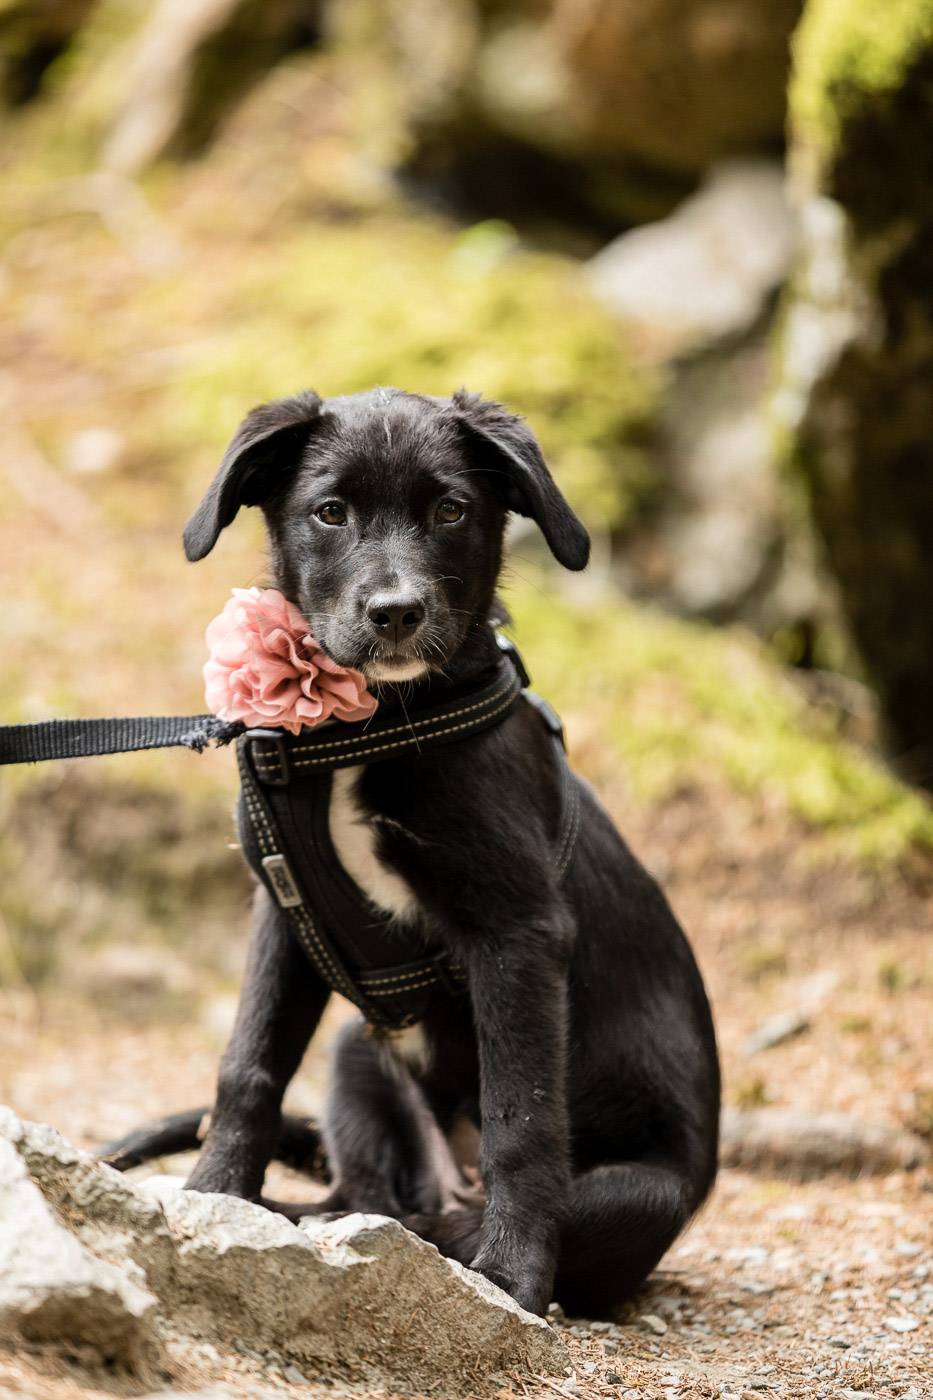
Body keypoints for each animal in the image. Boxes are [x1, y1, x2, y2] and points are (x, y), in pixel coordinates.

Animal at [107, 386, 719, 1320]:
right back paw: (302, 1220)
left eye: (452, 510)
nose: (395, 613)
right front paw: (212, 1199)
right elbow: (246, 1067)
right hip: (357, 1056)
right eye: (328, 511)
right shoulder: (283, 912)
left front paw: (513, 1275)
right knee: (369, 1201)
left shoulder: (518, 934)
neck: (369, 727)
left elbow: (521, 1117)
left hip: (638, 1193)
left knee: (440, 1221)